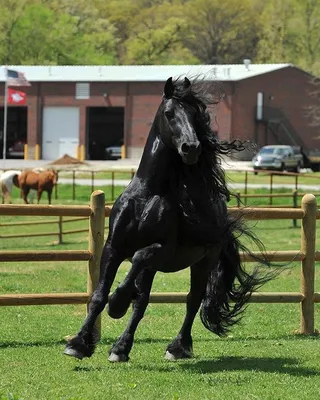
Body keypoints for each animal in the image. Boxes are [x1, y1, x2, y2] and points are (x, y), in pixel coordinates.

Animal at [64, 76, 276, 362]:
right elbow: (99, 296)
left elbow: (137, 262)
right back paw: (121, 348)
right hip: (157, 267)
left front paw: (118, 302)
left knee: (192, 299)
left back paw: (177, 347)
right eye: (169, 113)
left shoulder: (163, 250)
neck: (148, 194)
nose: (192, 148)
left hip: (203, 262)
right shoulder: (114, 247)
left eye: (195, 116)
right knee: (143, 302)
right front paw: (78, 343)